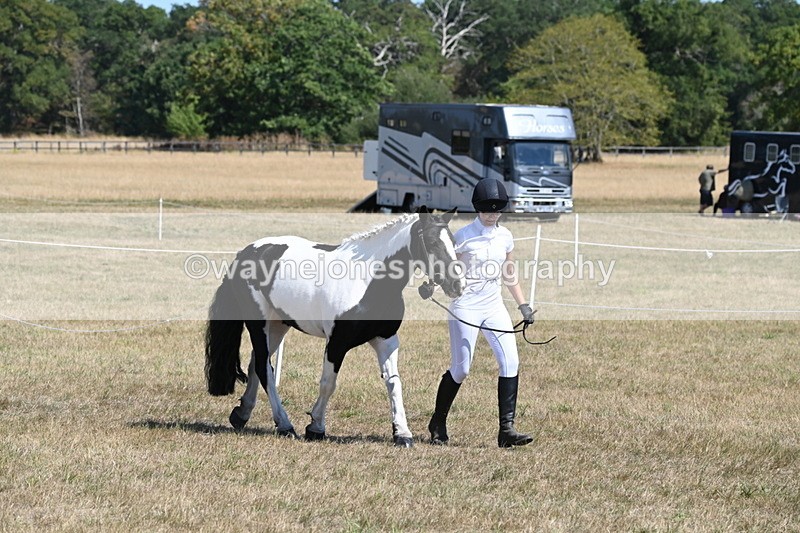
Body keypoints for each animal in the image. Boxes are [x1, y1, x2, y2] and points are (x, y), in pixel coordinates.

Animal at [204, 207, 463, 447]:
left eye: (453, 242)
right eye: (432, 242)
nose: (457, 285)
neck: (367, 280)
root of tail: (246, 252)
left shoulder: (386, 340)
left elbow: (394, 383)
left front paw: (402, 434)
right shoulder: (337, 342)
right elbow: (328, 383)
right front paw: (315, 427)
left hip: (278, 325)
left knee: (256, 364)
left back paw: (242, 415)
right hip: (259, 324)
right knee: (263, 367)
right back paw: (285, 425)